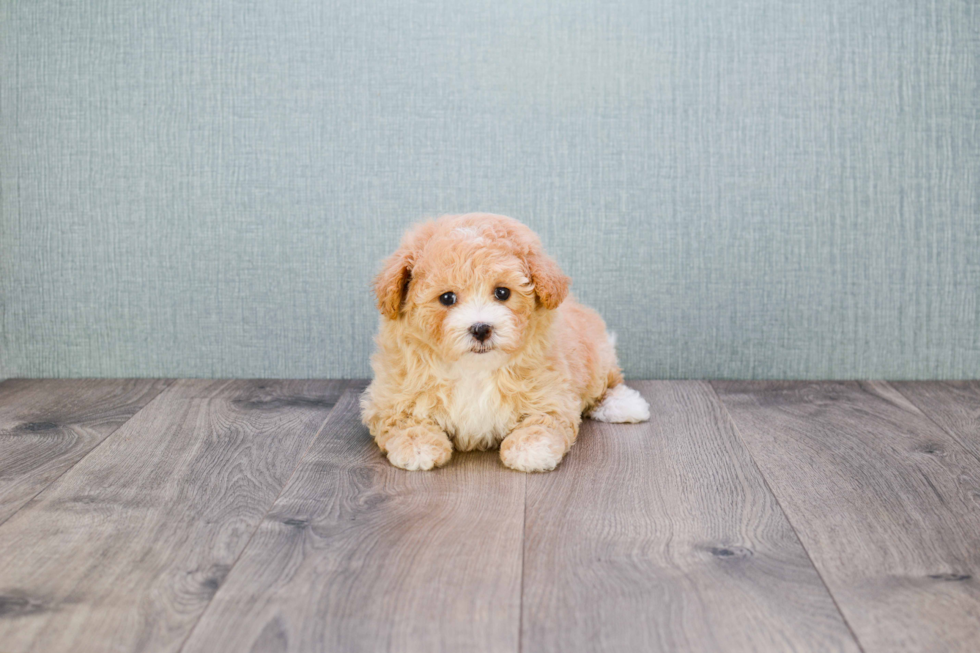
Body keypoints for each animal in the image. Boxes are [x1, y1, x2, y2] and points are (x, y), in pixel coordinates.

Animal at [360, 211, 652, 472]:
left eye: (502, 293)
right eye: (447, 298)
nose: (481, 328)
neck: (474, 369)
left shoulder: (551, 393)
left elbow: (543, 421)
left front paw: (531, 450)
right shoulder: (393, 397)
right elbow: (403, 421)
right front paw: (418, 447)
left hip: (595, 354)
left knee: (608, 381)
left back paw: (625, 405)